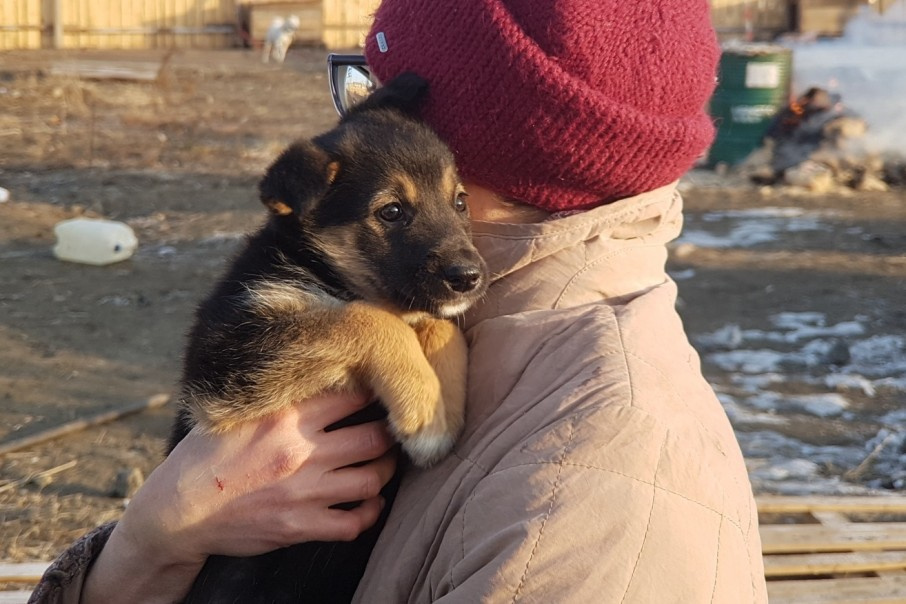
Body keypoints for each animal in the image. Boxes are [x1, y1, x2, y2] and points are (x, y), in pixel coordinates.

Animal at [170, 75, 488, 604]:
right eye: (392, 211)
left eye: (460, 202)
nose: (470, 277)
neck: (322, 271)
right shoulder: (224, 361)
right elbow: (364, 318)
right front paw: (426, 409)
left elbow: (434, 322)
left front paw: (441, 400)